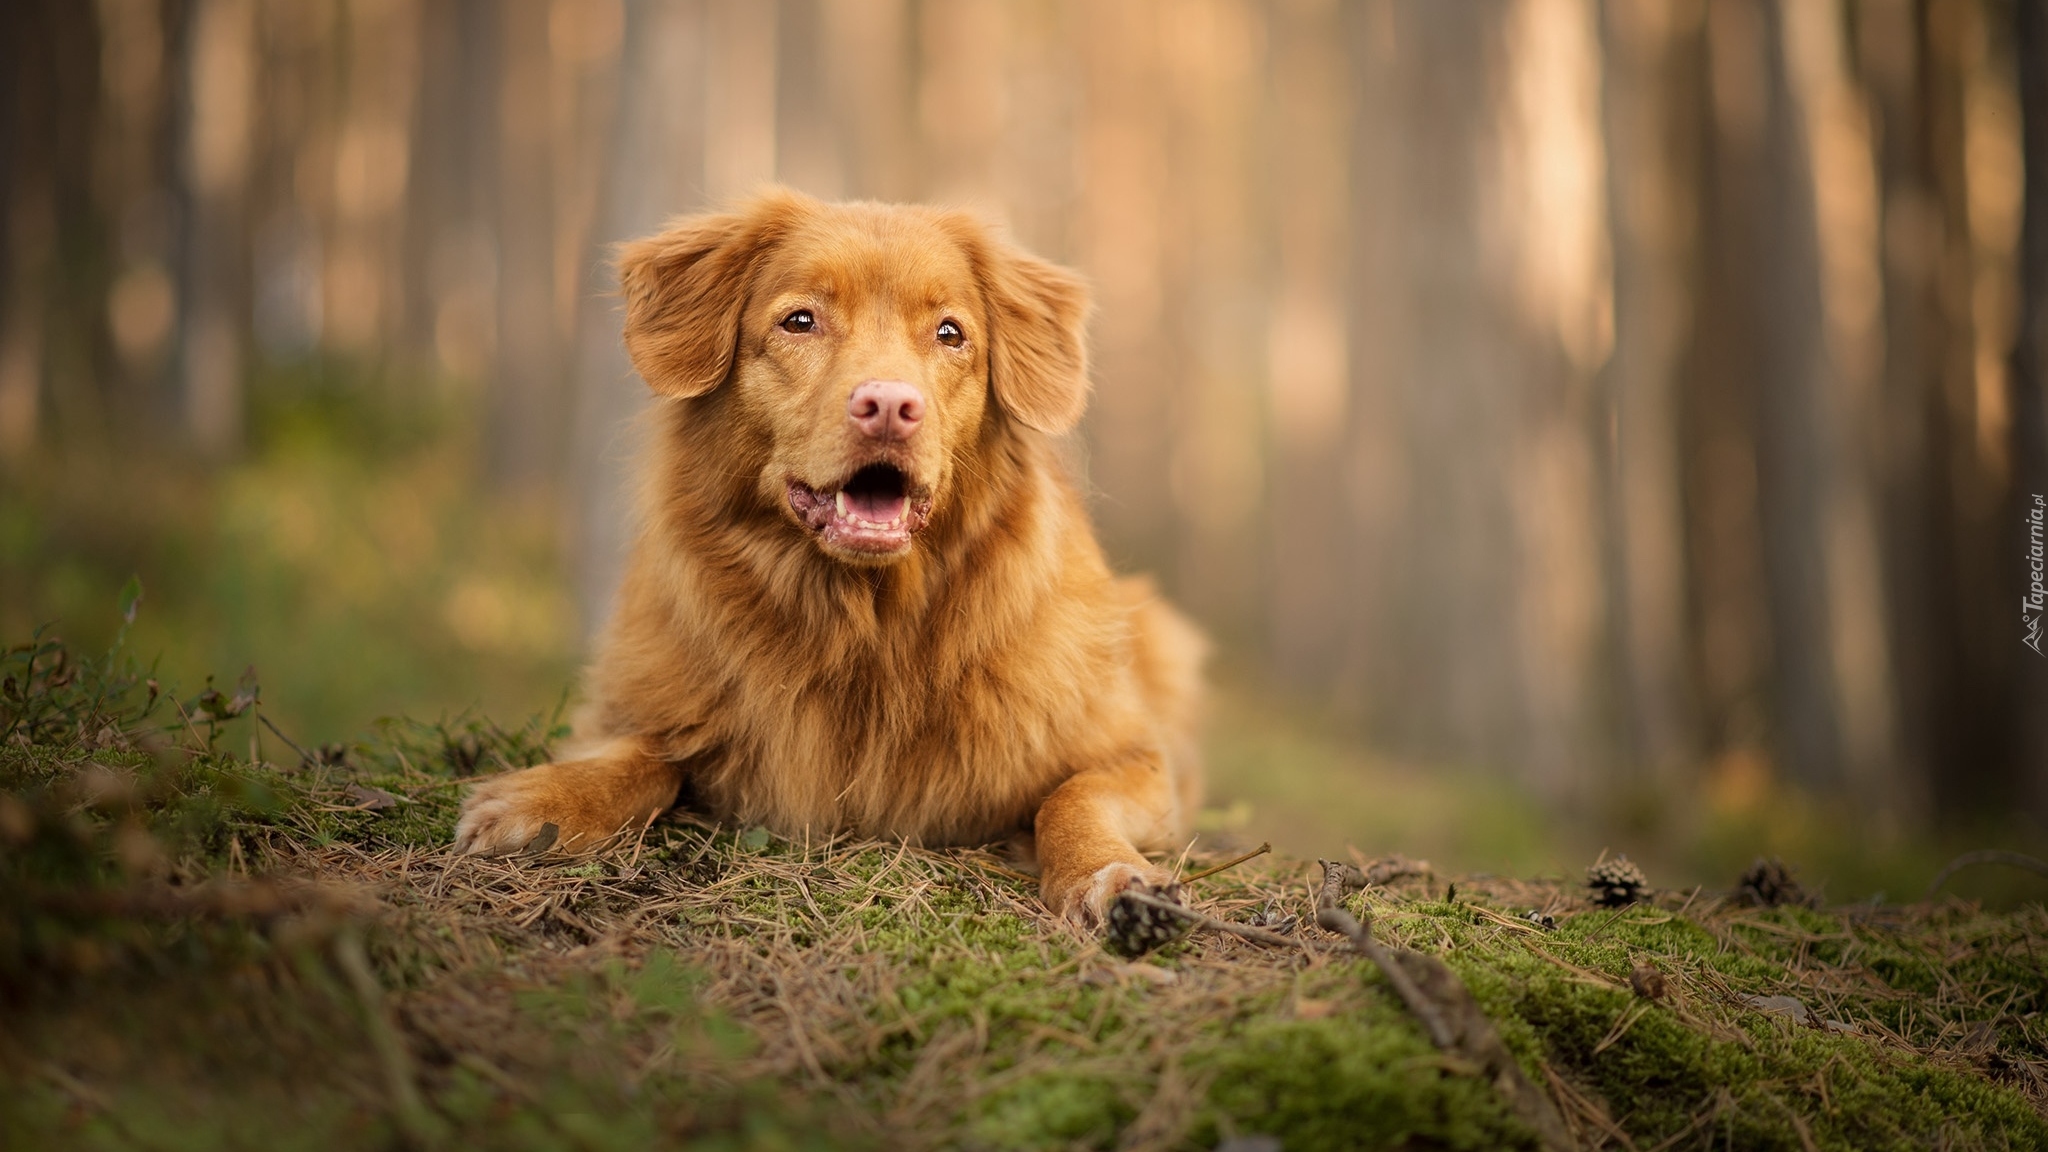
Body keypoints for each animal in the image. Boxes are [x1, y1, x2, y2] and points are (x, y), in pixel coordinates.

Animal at [452, 190, 1196, 922]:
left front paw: (1110, 874)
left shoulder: (1138, 756)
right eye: (801, 321)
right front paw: (545, 800)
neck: (864, 620)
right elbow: (639, 753)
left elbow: (1071, 797)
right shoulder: (647, 709)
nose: (891, 405)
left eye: (950, 333)